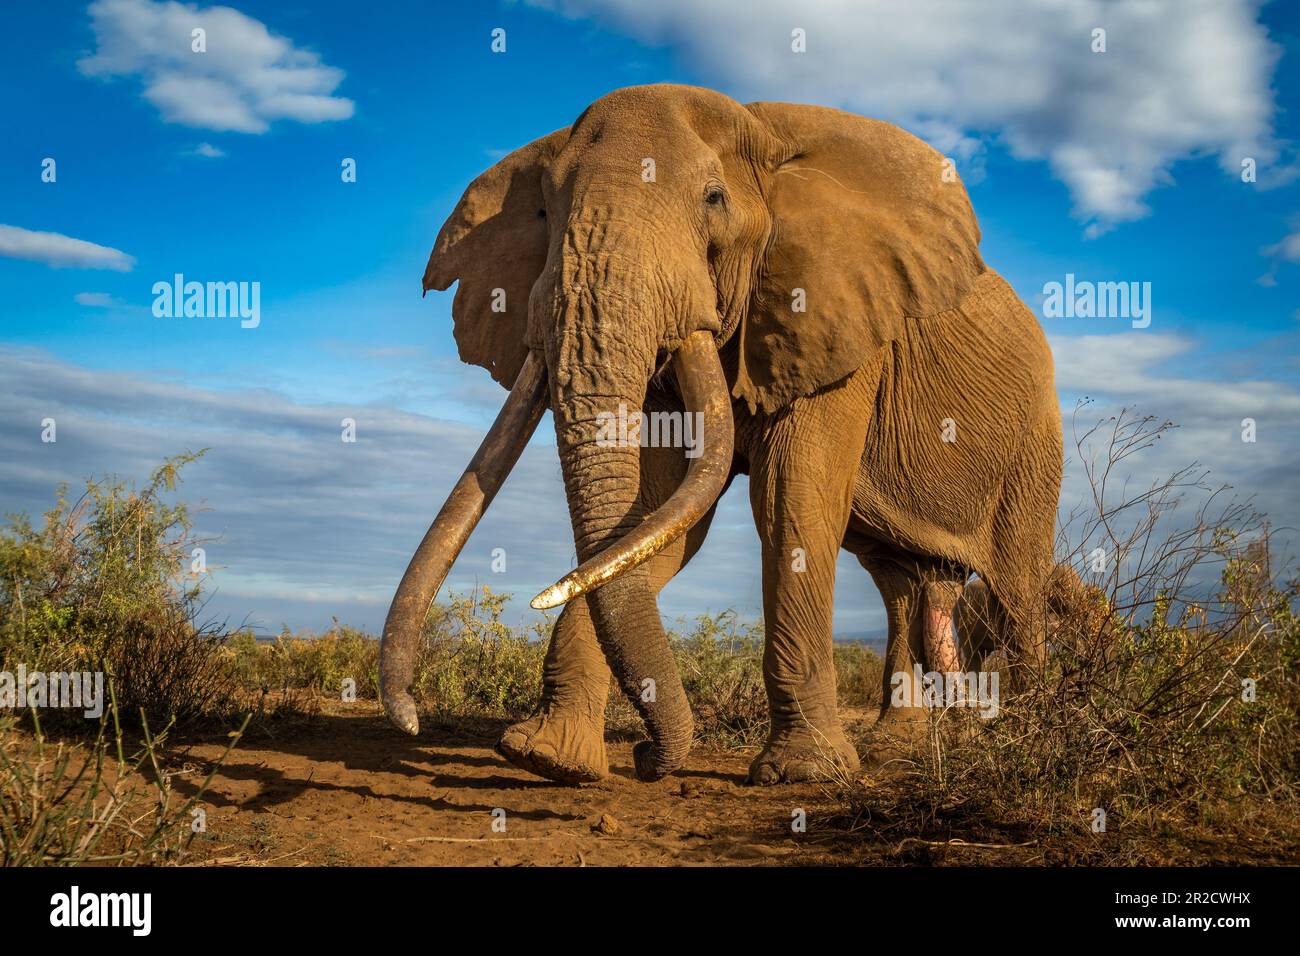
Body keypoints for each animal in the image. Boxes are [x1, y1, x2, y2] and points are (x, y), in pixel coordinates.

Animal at [374, 83, 1055, 785]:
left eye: (713, 199)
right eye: (544, 210)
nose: (646, 758)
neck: (764, 133)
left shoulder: (839, 321)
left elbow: (789, 497)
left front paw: (803, 774)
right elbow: (657, 516)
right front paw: (548, 758)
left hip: (1034, 440)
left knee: (1018, 585)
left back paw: (1030, 735)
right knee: (902, 581)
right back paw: (900, 745)